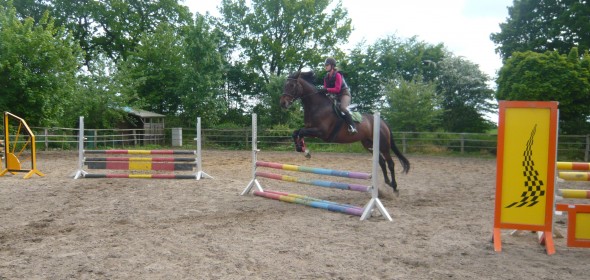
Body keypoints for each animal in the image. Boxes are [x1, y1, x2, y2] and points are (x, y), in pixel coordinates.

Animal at [278, 71, 410, 194]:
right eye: (285, 85)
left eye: (291, 85)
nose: (283, 103)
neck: (317, 106)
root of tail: (382, 122)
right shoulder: (311, 130)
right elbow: (296, 132)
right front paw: (302, 149)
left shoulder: (321, 132)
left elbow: (300, 132)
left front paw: (305, 151)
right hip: (368, 144)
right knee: (382, 162)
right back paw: (388, 183)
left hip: (383, 144)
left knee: (390, 163)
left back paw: (395, 187)